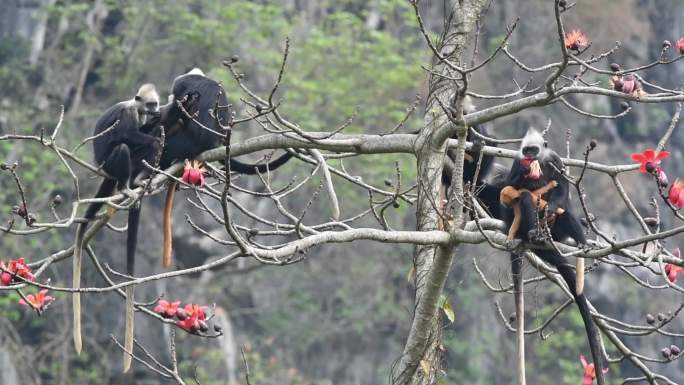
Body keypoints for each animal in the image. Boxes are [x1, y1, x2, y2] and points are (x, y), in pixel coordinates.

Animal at [500, 128, 608, 384]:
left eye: (534, 150)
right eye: (526, 150)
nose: (530, 156)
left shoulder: (556, 161)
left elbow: (563, 190)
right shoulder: (518, 162)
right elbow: (512, 186)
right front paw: (524, 176)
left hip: (557, 227)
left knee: (564, 211)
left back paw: (580, 242)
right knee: (525, 198)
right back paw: (532, 233)